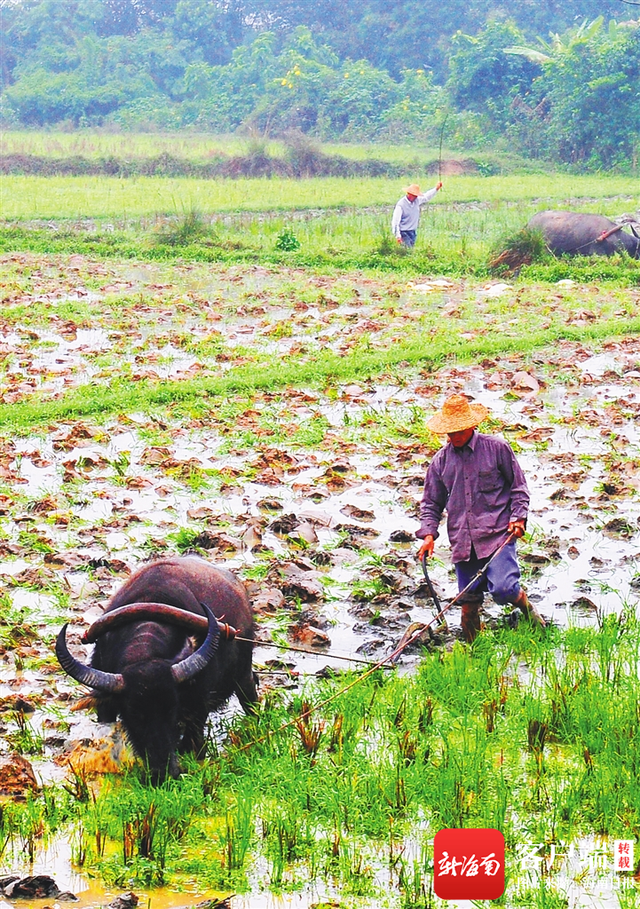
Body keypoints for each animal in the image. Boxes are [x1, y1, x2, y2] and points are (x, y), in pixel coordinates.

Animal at [56, 552, 258, 780]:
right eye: (134, 713)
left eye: (173, 709)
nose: (163, 772)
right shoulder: (106, 703)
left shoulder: (197, 707)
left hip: (243, 677)